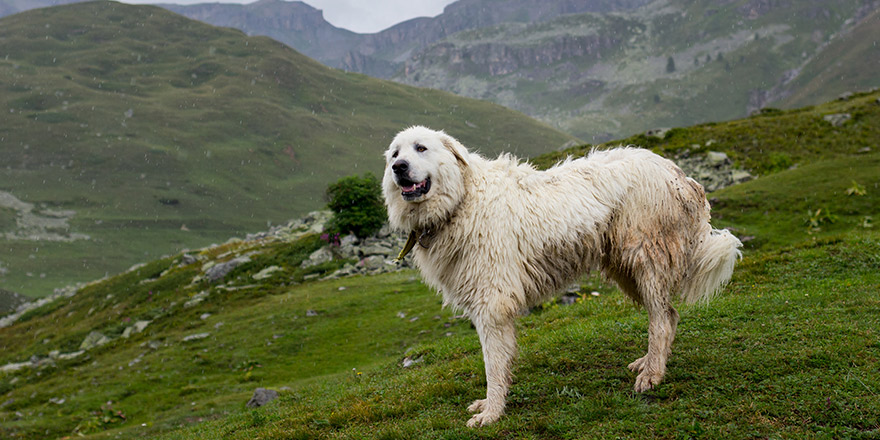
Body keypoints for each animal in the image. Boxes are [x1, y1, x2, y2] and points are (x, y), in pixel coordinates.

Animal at [382, 125, 740, 428]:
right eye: (395, 153)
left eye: (421, 148)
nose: (399, 167)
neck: (462, 200)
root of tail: (678, 174)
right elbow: (500, 363)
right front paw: (490, 405)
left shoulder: (492, 304)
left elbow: (493, 364)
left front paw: (492, 412)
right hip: (627, 270)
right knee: (669, 314)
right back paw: (650, 362)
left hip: (646, 259)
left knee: (662, 319)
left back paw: (652, 375)